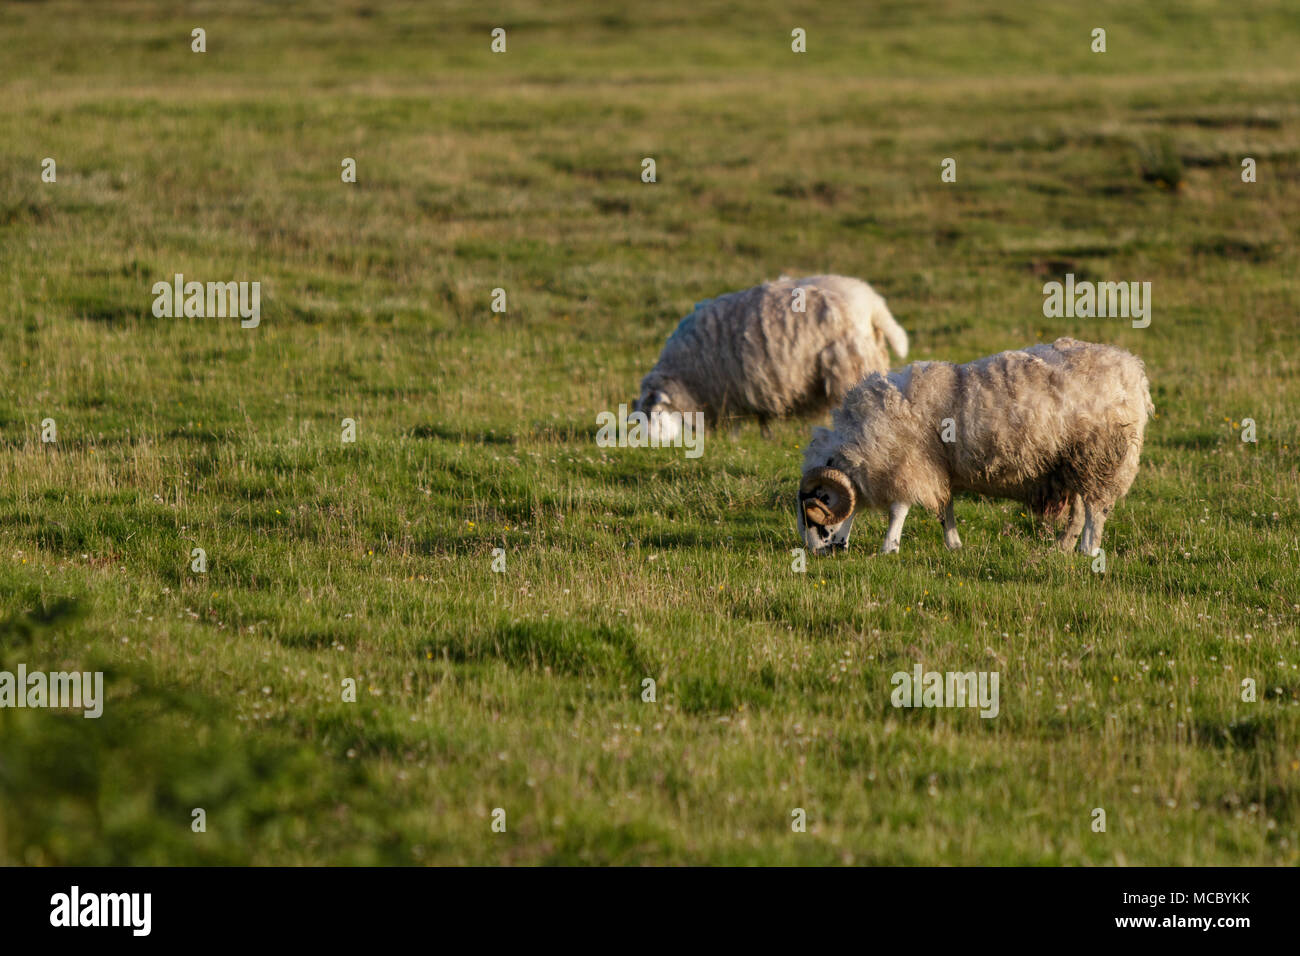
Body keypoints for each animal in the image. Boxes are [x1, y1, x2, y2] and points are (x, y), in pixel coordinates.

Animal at [631, 274, 904, 442]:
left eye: (655, 415)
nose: (651, 446)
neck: (686, 377)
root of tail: (873, 304)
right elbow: (762, 420)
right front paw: (766, 437)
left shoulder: (733, 391)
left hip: (849, 365)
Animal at [795, 338, 1154, 556]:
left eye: (814, 517)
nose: (817, 553)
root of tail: (1133, 372)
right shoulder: (938, 467)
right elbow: (945, 508)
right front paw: (954, 544)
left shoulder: (910, 463)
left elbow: (900, 508)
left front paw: (889, 547)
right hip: (1072, 462)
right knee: (1080, 511)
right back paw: (1063, 548)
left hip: (1100, 455)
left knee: (1096, 508)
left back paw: (1088, 551)